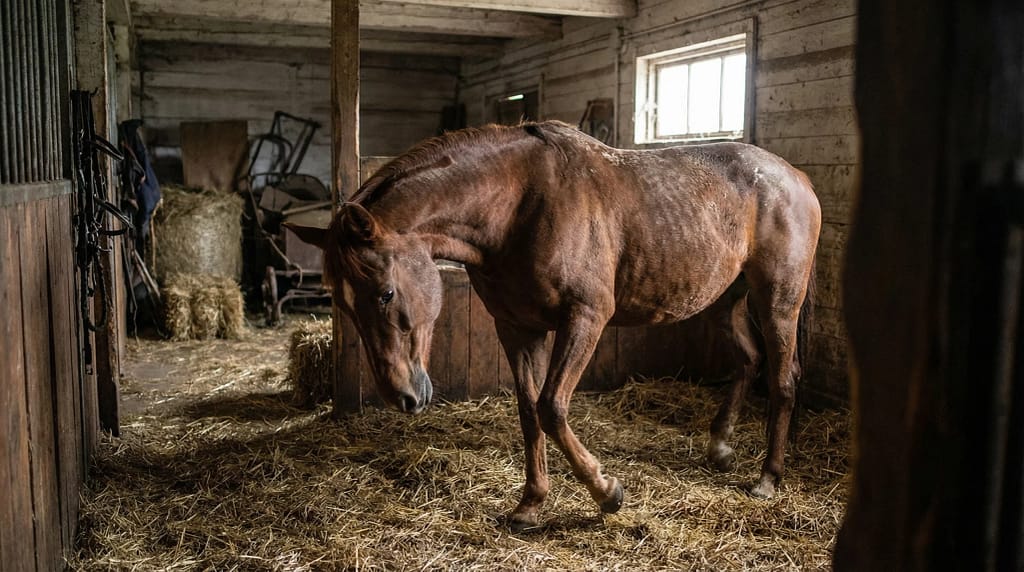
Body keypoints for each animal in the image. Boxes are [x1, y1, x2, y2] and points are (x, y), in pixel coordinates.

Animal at [286, 120, 820, 530]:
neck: (520, 205)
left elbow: (551, 407)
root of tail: (797, 177)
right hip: (724, 301)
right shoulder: (517, 328)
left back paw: (768, 478)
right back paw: (720, 447)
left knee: (783, 377)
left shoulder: (585, 318)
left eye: (386, 293)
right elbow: (529, 413)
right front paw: (530, 505)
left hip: (777, 300)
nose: (404, 397)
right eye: (344, 305)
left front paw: (607, 491)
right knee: (749, 362)